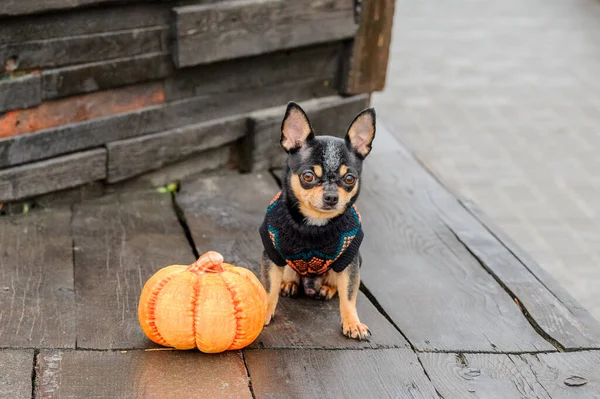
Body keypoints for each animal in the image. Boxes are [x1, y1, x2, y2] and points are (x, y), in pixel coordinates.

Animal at [258, 101, 376, 340]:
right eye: (308, 176)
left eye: (349, 179)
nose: (331, 197)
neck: (314, 224)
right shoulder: (271, 256)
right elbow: (269, 288)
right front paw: (266, 310)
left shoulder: (349, 262)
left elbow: (349, 295)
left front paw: (352, 322)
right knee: (289, 274)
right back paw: (290, 283)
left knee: (336, 284)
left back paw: (326, 289)